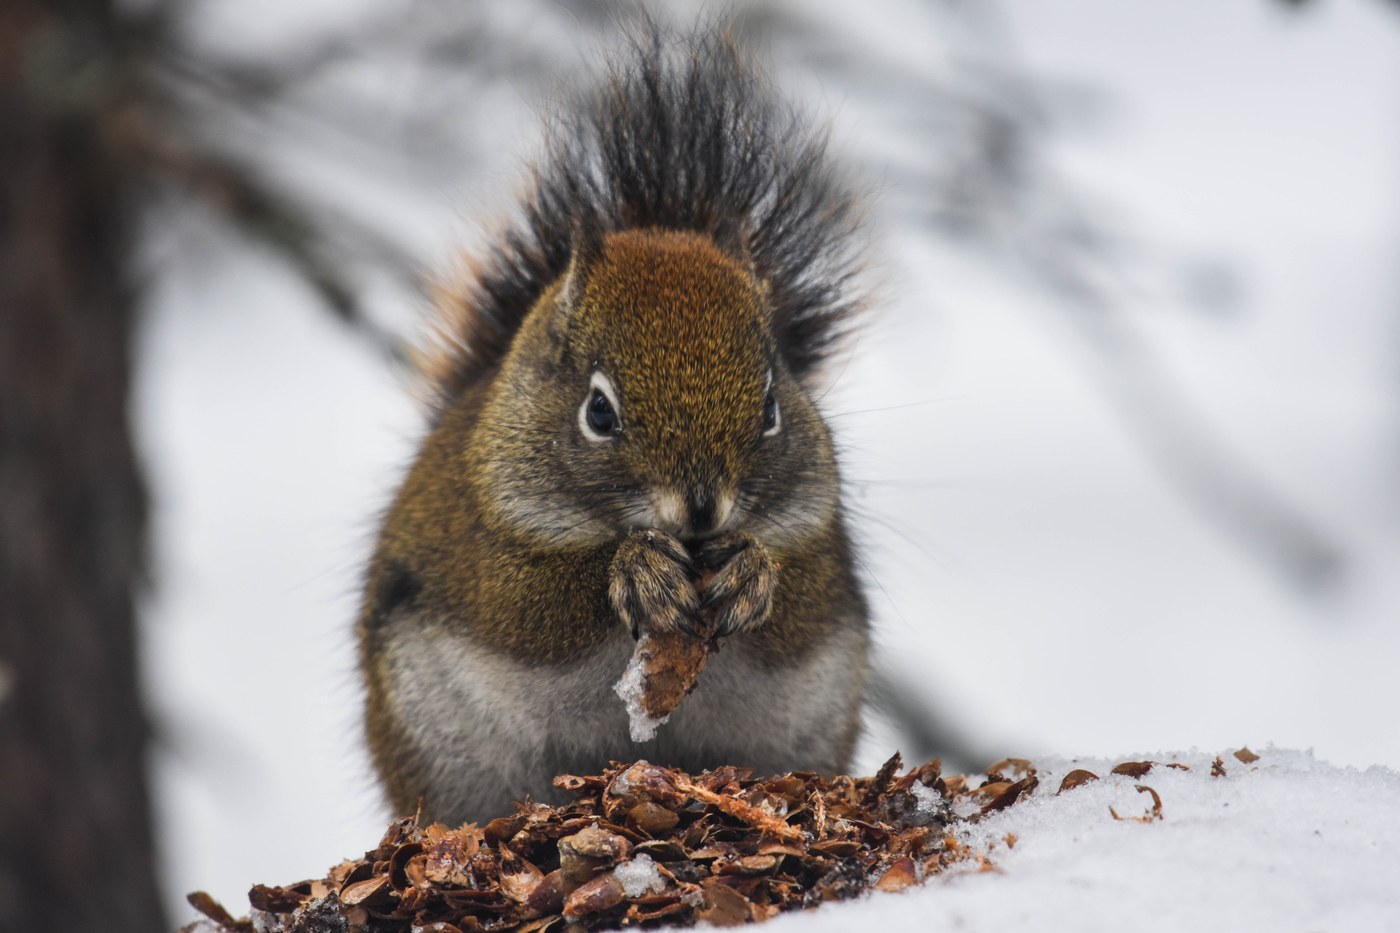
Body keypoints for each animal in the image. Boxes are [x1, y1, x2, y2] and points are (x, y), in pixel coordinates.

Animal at [357, 24, 871, 824]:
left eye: (771, 407)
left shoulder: (823, 548)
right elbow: (529, 606)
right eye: (598, 410)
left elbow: (801, 603)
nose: (701, 510)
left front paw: (751, 570)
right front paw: (635, 570)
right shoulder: (478, 552)